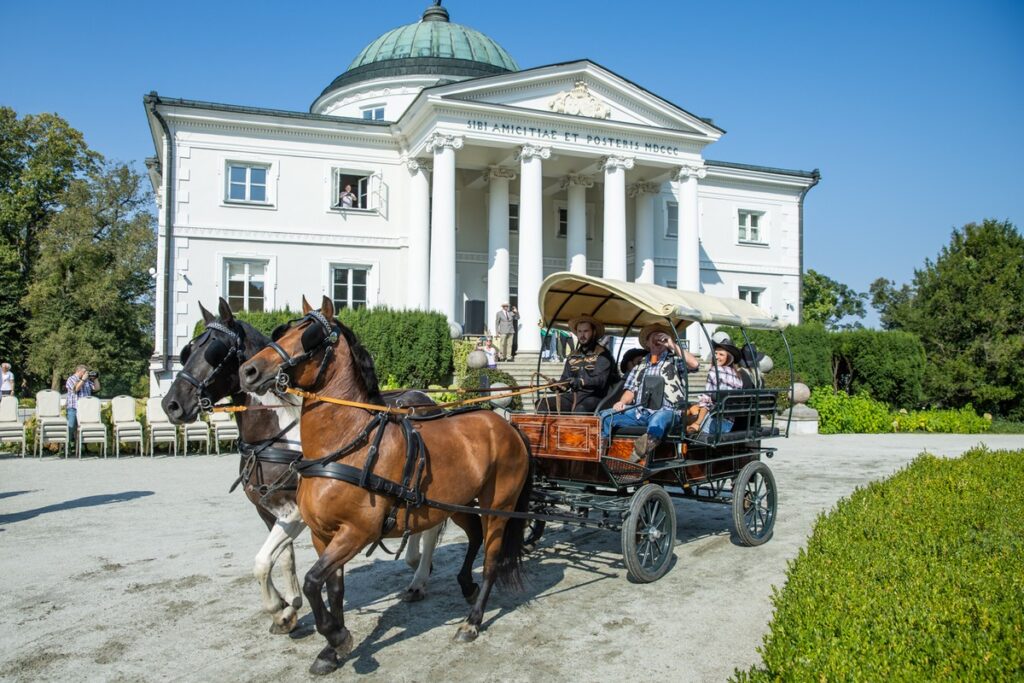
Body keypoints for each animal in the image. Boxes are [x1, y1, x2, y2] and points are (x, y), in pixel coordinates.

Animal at [160, 299, 448, 634]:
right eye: (188, 351)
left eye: (215, 351)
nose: (171, 404)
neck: (276, 437)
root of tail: (426, 398)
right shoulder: (268, 510)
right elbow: (284, 557)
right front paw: (291, 606)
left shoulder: (296, 512)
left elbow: (262, 562)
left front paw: (278, 608)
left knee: (432, 529)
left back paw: (418, 578)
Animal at [236, 296, 532, 675]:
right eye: (282, 331)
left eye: (309, 336)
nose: (249, 371)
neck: (347, 444)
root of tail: (504, 423)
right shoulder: (322, 535)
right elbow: (332, 588)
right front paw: (331, 648)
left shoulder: (356, 532)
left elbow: (313, 582)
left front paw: (336, 636)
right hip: (457, 503)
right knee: (474, 536)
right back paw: (464, 584)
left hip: (500, 506)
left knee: (492, 557)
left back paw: (472, 620)